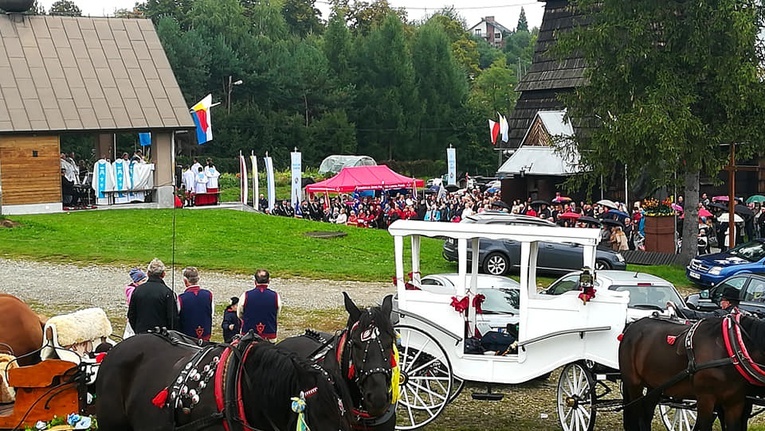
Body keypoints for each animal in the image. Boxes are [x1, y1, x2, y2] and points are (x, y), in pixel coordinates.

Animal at [616, 314, 764, 431]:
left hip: (655, 386)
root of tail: (631, 327)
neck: (732, 350)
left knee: (646, 414)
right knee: (635, 415)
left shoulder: (735, 403)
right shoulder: (706, 399)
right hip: (634, 384)